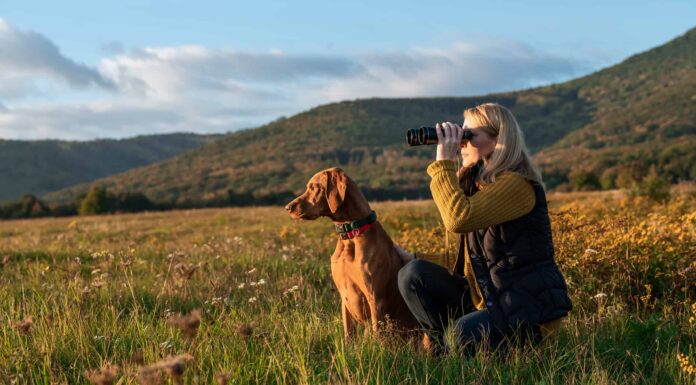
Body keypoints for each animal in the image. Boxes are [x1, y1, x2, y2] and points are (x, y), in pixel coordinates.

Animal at [284, 166, 418, 340]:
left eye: (314, 187)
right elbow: (348, 333)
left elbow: (378, 334)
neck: (350, 233)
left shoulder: (375, 298)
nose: (287, 208)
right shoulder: (344, 296)